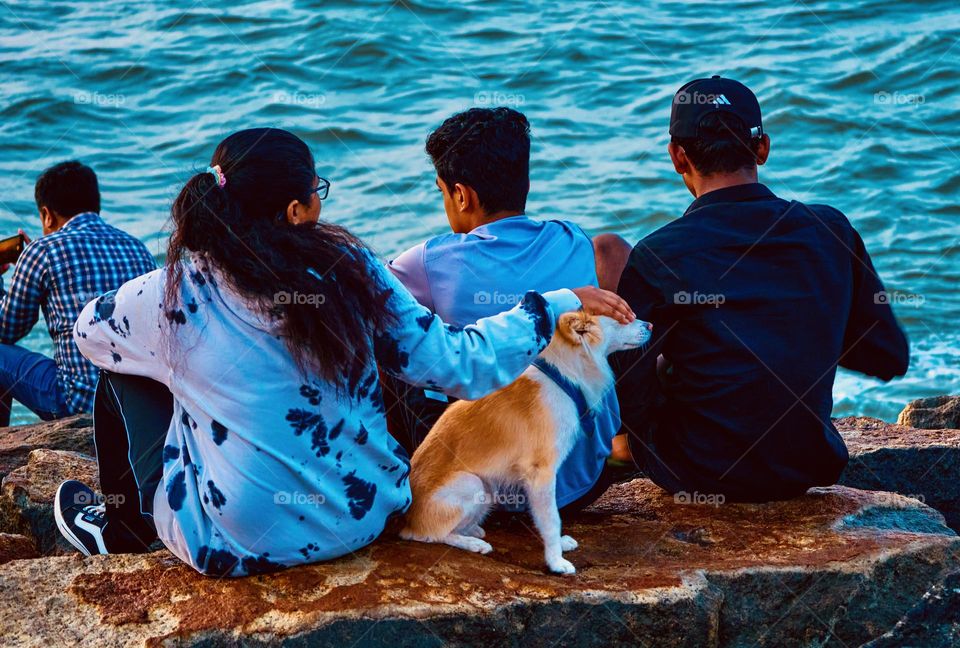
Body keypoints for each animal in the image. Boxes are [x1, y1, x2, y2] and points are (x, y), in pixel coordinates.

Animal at [398, 312, 652, 576]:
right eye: (621, 318)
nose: (650, 325)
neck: (562, 378)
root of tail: (407, 520)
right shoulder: (541, 473)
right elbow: (551, 518)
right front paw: (556, 561)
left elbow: (550, 515)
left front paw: (559, 545)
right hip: (472, 484)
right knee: (429, 535)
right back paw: (472, 543)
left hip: (487, 489)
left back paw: (473, 530)